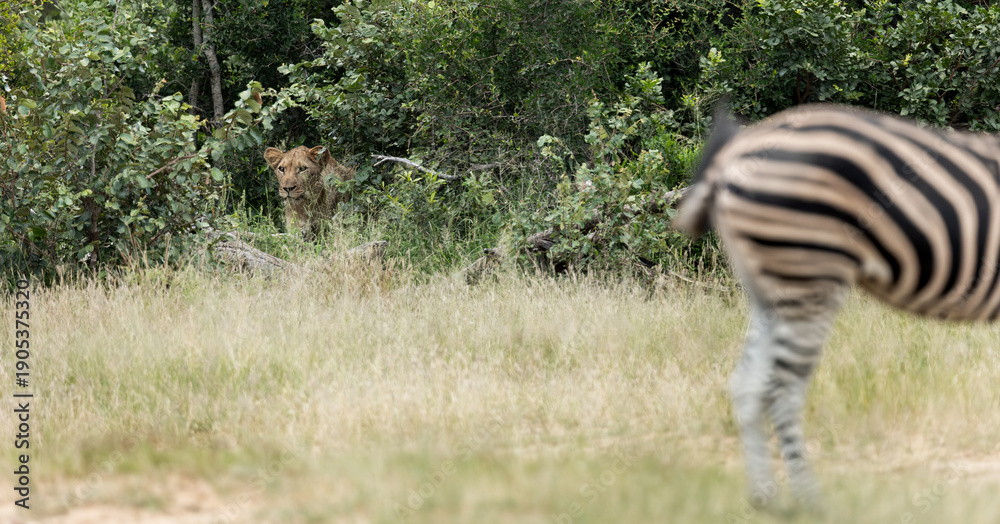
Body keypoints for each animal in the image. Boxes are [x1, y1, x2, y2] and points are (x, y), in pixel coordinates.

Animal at [674, 103, 1000, 508]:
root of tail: (735, 151)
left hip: (770, 289)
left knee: (747, 385)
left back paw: (768, 500)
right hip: (808, 273)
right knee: (782, 391)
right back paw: (812, 503)